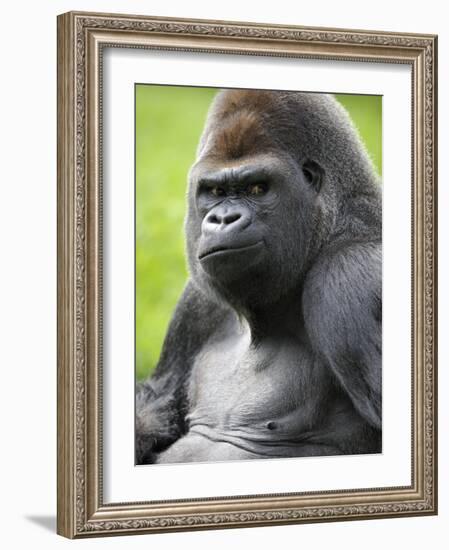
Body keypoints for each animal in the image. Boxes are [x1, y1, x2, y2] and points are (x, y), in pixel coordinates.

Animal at [136, 89, 382, 466]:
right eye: (215, 192)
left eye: (257, 188)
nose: (223, 219)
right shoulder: (196, 301)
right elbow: (156, 408)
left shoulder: (350, 275)